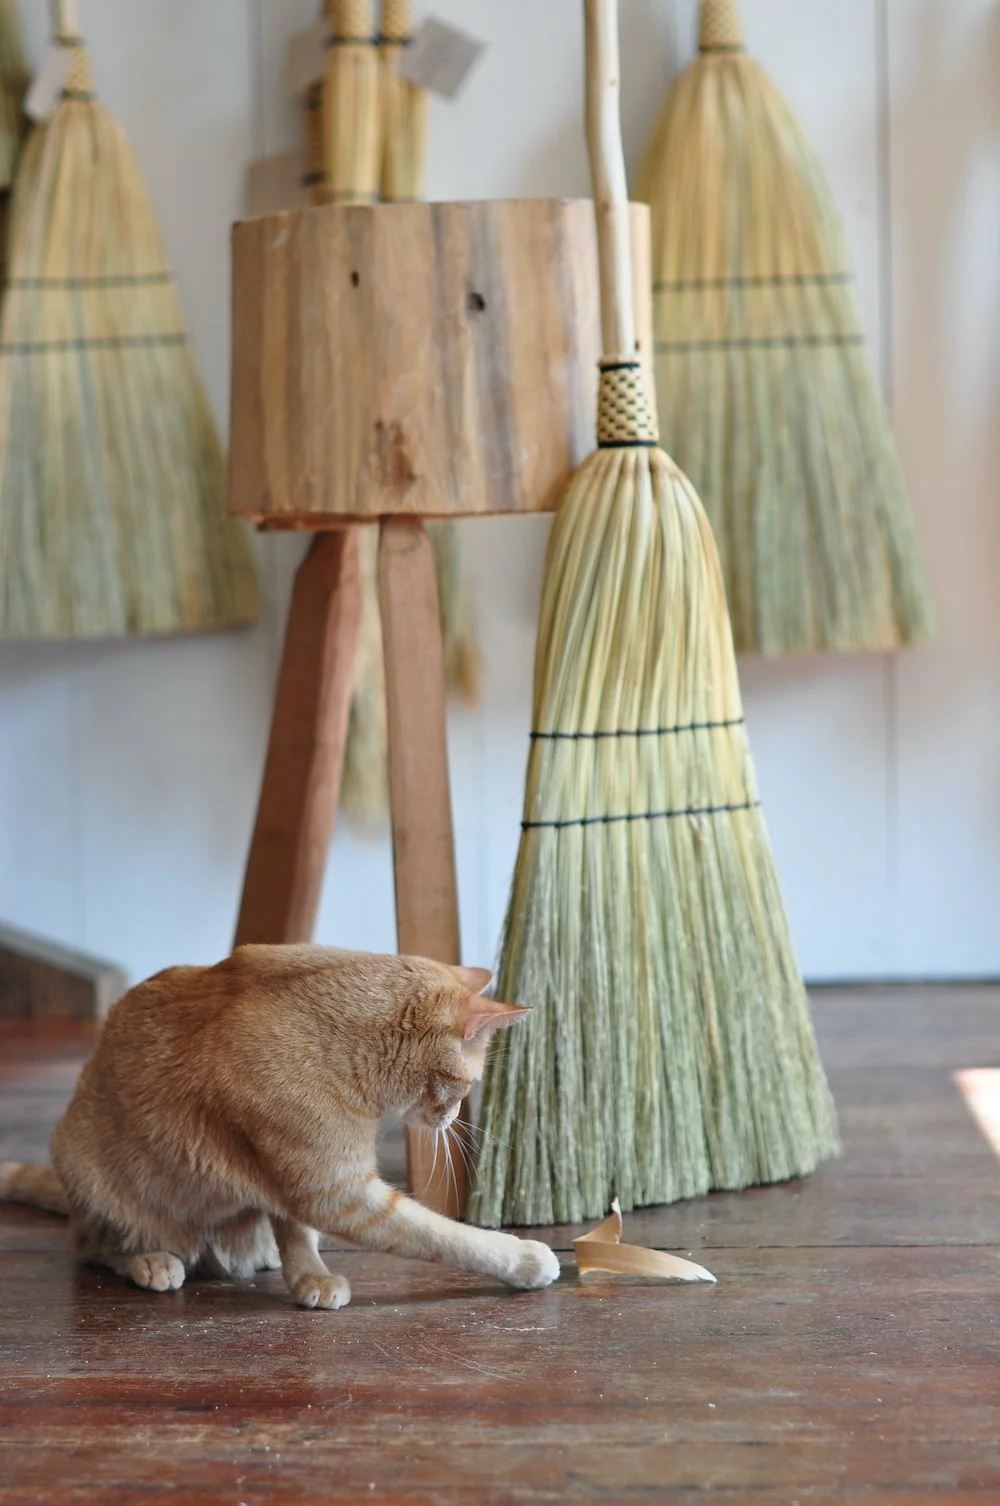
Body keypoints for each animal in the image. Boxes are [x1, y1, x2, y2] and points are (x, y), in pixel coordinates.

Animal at [0, 943, 559, 1308]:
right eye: (467, 1086)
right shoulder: (337, 1191)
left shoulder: (290, 1177)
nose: (452, 1118)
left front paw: (308, 1275)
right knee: (92, 1247)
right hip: (94, 1182)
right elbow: (444, 1235)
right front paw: (525, 1259)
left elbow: (295, 1230)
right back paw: (150, 1260)